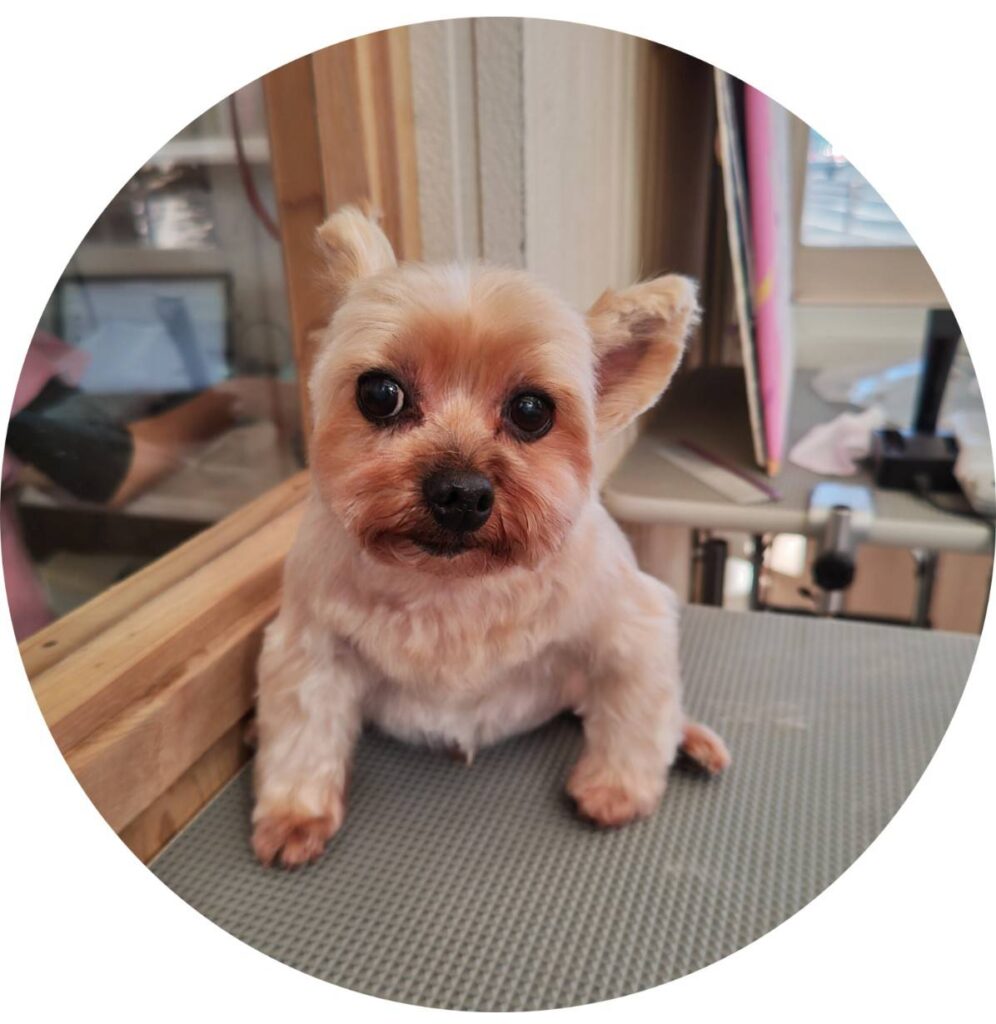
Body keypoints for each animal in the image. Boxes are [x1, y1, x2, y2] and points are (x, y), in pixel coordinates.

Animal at [251, 205, 730, 867]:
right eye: (380, 393)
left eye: (532, 410)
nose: (460, 491)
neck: (451, 586)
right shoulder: (309, 640)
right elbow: (303, 723)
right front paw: (295, 812)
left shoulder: (634, 623)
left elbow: (638, 709)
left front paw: (617, 787)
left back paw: (692, 740)